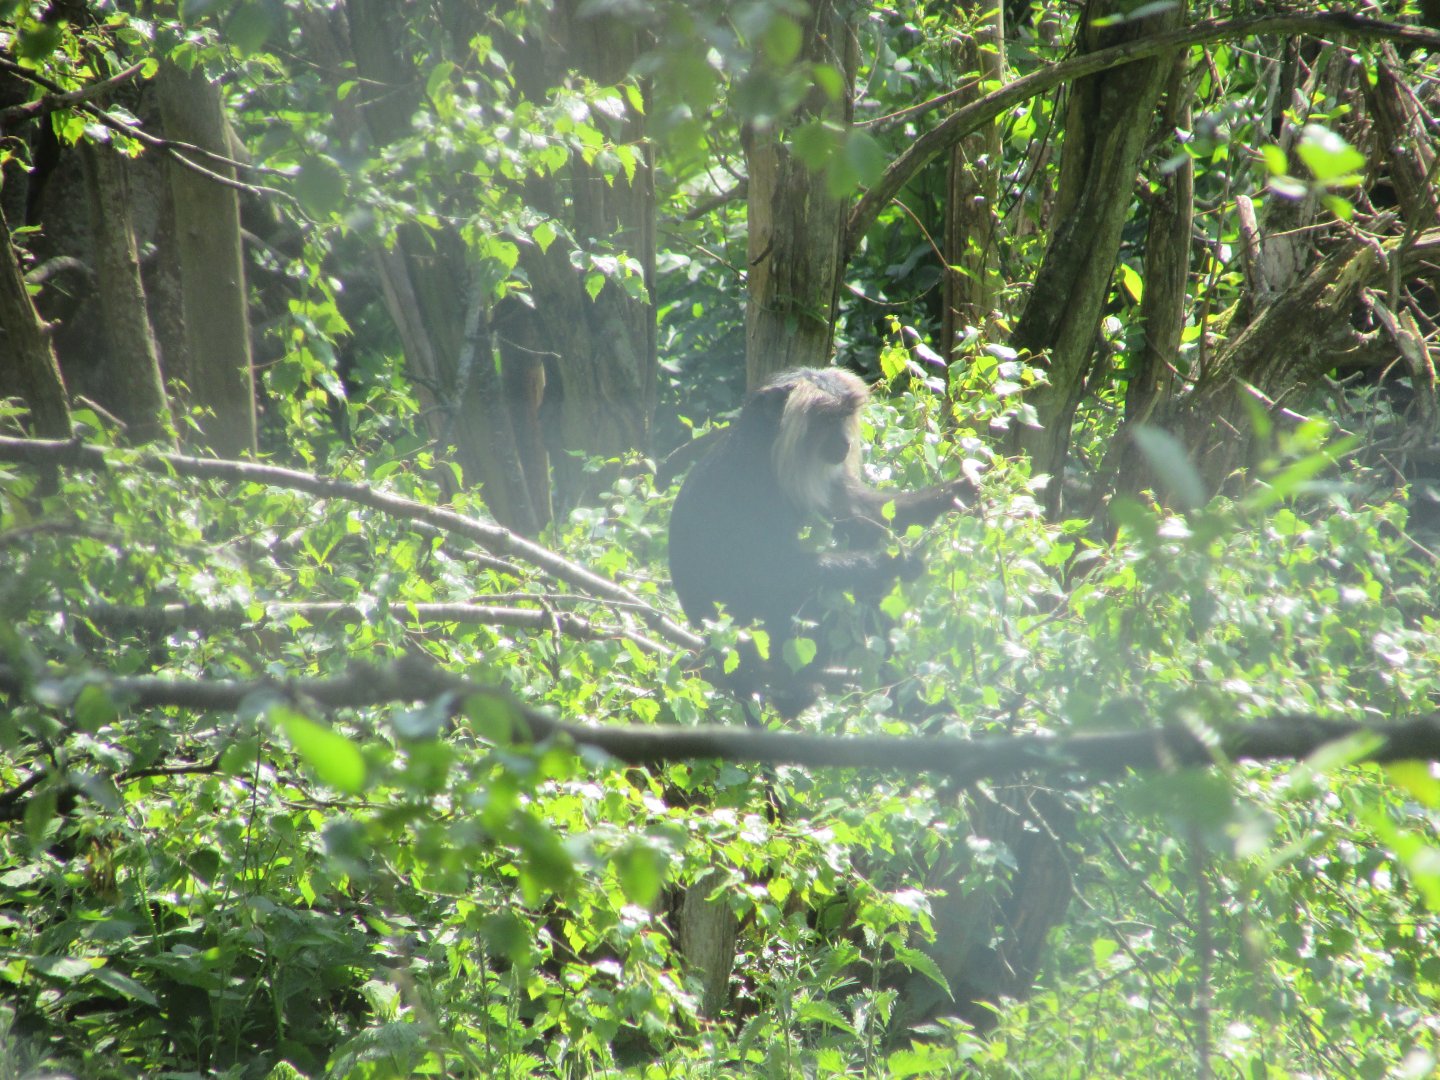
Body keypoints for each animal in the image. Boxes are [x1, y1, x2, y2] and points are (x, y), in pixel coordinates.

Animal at [667, 366, 971, 712]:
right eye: (826, 420)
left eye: (844, 417)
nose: (844, 442)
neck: (765, 450)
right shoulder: (750, 485)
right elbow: (774, 574)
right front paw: (895, 561)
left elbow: (861, 515)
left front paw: (952, 494)